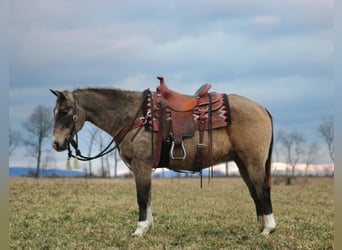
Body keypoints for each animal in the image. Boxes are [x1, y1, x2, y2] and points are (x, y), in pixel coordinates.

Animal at [50, 76, 276, 236]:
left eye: (64, 111)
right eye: (55, 111)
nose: (56, 143)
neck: (137, 116)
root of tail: (261, 108)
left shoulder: (141, 165)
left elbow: (142, 197)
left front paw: (140, 229)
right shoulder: (142, 168)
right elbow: (148, 197)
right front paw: (148, 227)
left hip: (253, 162)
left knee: (263, 190)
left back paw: (268, 229)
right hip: (242, 163)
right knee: (255, 193)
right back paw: (259, 228)